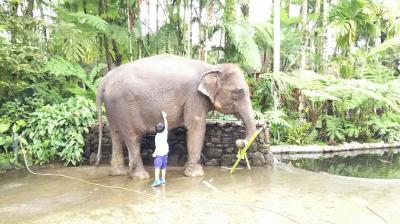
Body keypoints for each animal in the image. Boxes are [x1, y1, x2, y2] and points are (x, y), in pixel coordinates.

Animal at [95, 54, 255, 178]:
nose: (239, 142)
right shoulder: (194, 96)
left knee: (116, 134)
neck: (212, 67)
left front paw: (187, 168)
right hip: (124, 107)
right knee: (132, 137)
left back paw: (118, 173)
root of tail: (105, 80)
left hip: (113, 107)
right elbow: (196, 127)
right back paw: (140, 177)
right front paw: (195, 174)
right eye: (238, 92)